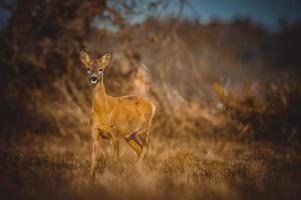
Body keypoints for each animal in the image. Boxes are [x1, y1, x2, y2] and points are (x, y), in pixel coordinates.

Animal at [78, 50, 156, 178]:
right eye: (88, 68)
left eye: (101, 69)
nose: (94, 78)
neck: (103, 111)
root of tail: (152, 105)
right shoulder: (94, 132)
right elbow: (94, 157)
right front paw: (91, 177)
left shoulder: (115, 133)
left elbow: (115, 159)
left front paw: (116, 177)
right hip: (130, 135)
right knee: (139, 149)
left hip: (143, 129)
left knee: (146, 146)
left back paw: (136, 168)